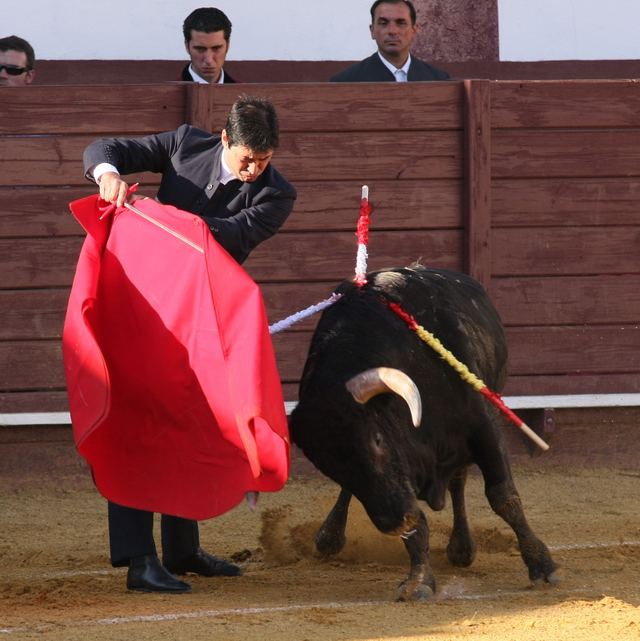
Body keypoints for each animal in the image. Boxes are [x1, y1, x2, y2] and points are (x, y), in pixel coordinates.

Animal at [288, 264, 564, 600]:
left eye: (377, 440)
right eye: (327, 468)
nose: (394, 523)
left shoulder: (484, 429)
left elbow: (503, 497)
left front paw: (543, 566)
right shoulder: (400, 482)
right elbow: (416, 523)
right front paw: (418, 581)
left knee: (459, 482)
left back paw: (462, 548)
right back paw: (329, 537)